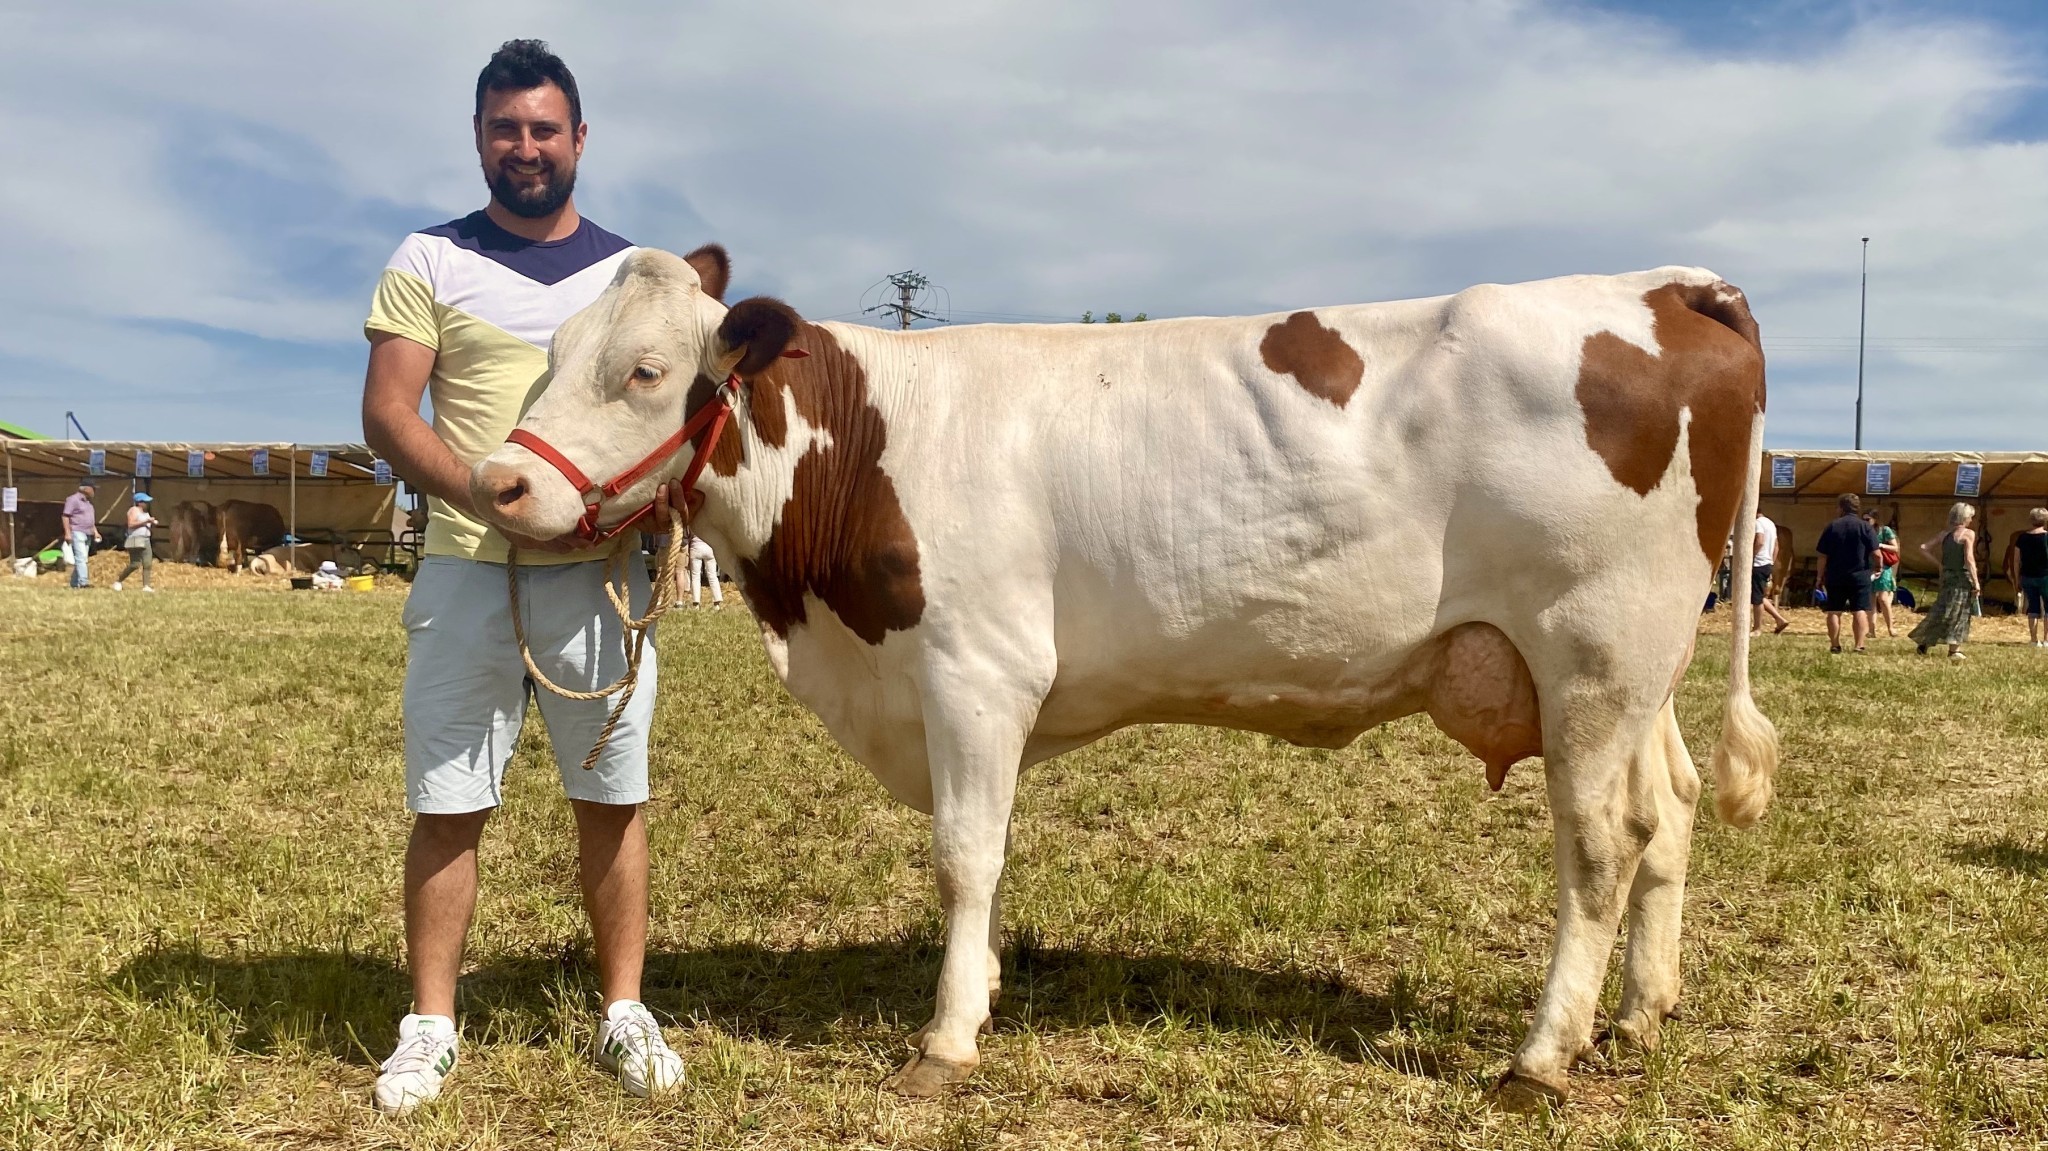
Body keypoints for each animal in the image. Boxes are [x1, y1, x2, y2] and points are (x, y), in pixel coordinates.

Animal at [464, 248, 1777, 1105]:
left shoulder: (976, 668)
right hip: (1634, 669)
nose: (500, 482)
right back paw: (1638, 1013)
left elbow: (963, 853)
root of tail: (1666, 284)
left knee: (1598, 843)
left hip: (1591, 646)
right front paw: (985, 988)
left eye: (642, 370)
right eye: (552, 355)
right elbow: (986, 858)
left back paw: (1541, 1054)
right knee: (1666, 815)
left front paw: (946, 1035)